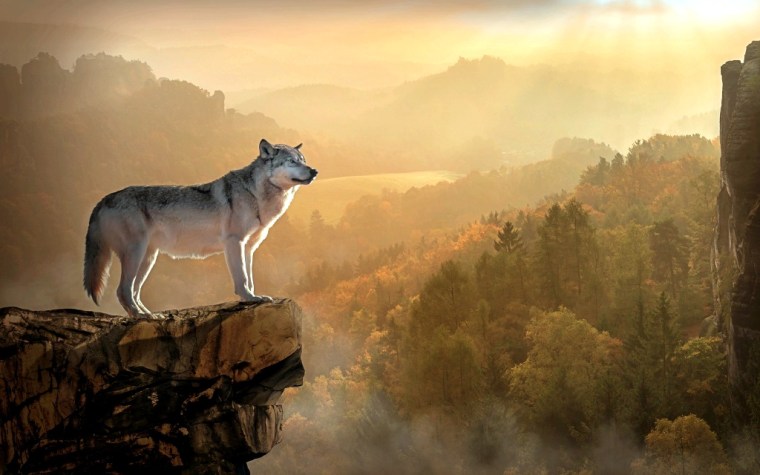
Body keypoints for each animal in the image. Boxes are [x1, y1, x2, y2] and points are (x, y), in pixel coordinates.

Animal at [83, 139, 317, 317]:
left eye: (303, 161)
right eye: (291, 162)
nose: (315, 171)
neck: (256, 195)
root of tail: (103, 199)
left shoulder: (249, 248)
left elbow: (250, 278)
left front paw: (254, 297)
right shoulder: (234, 243)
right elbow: (242, 278)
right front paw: (249, 298)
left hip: (148, 258)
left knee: (134, 291)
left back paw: (149, 315)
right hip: (136, 254)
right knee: (123, 290)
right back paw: (142, 317)